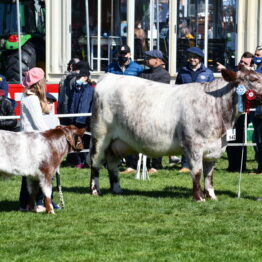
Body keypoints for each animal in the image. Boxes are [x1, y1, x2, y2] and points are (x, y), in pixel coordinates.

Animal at [88, 67, 262, 201]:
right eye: (253, 78)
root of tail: (109, 77)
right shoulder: (193, 145)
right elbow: (197, 172)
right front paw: (199, 198)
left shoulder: (214, 149)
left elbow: (209, 175)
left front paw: (212, 196)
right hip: (100, 136)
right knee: (95, 163)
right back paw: (95, 191)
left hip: (116, 143)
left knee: (112, 166)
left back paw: (117, 189)